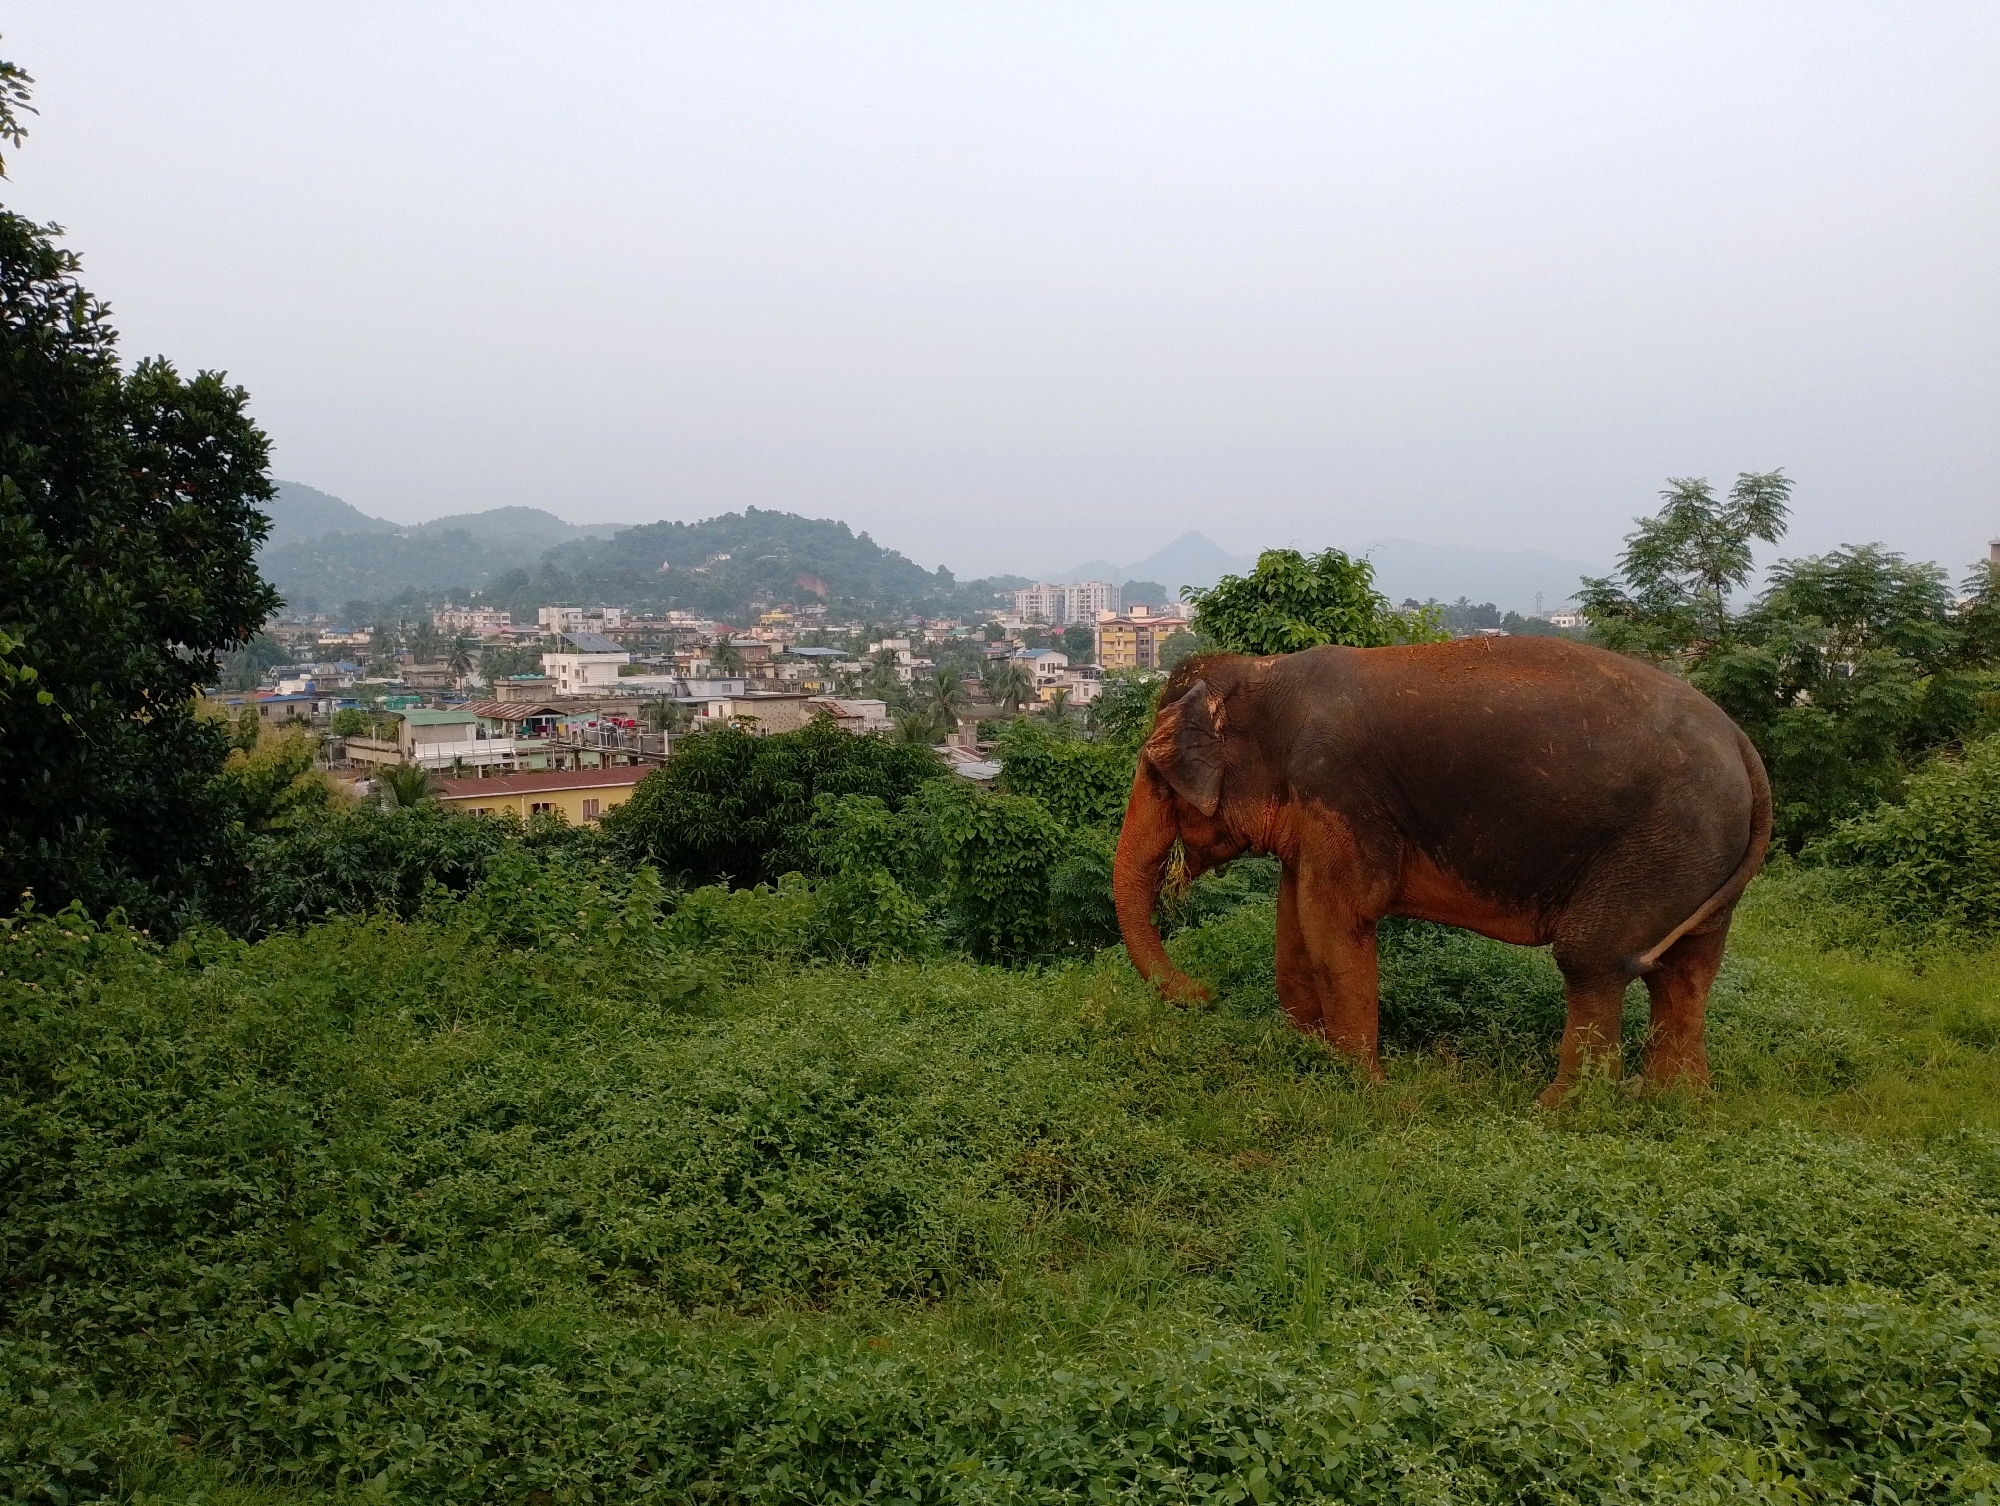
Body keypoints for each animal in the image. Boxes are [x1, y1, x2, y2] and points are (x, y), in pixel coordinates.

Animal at [1112, 637, 1771, 1104]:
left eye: (1156, 775)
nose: (1203, 994)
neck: (1265, 673)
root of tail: (1744, 746)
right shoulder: (1315, 813)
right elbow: (1295, 919)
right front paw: (1301, 1050)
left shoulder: (1340, 791)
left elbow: (1334, 919)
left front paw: (1361, 1087)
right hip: (1695, 856)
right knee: (1684, 972)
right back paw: (1672, 1104)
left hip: (1662, 840)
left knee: (1593, 960)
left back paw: (1556, 1113)